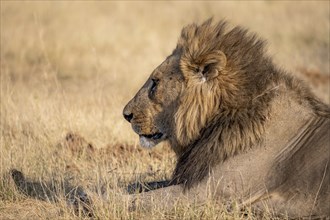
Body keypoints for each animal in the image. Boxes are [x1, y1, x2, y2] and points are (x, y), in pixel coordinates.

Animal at [122, 19, 328, 218]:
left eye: (155, 83)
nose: (126, 115)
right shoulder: (192, 178)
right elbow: (136, 186)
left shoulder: (204, 193)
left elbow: (137, 199)